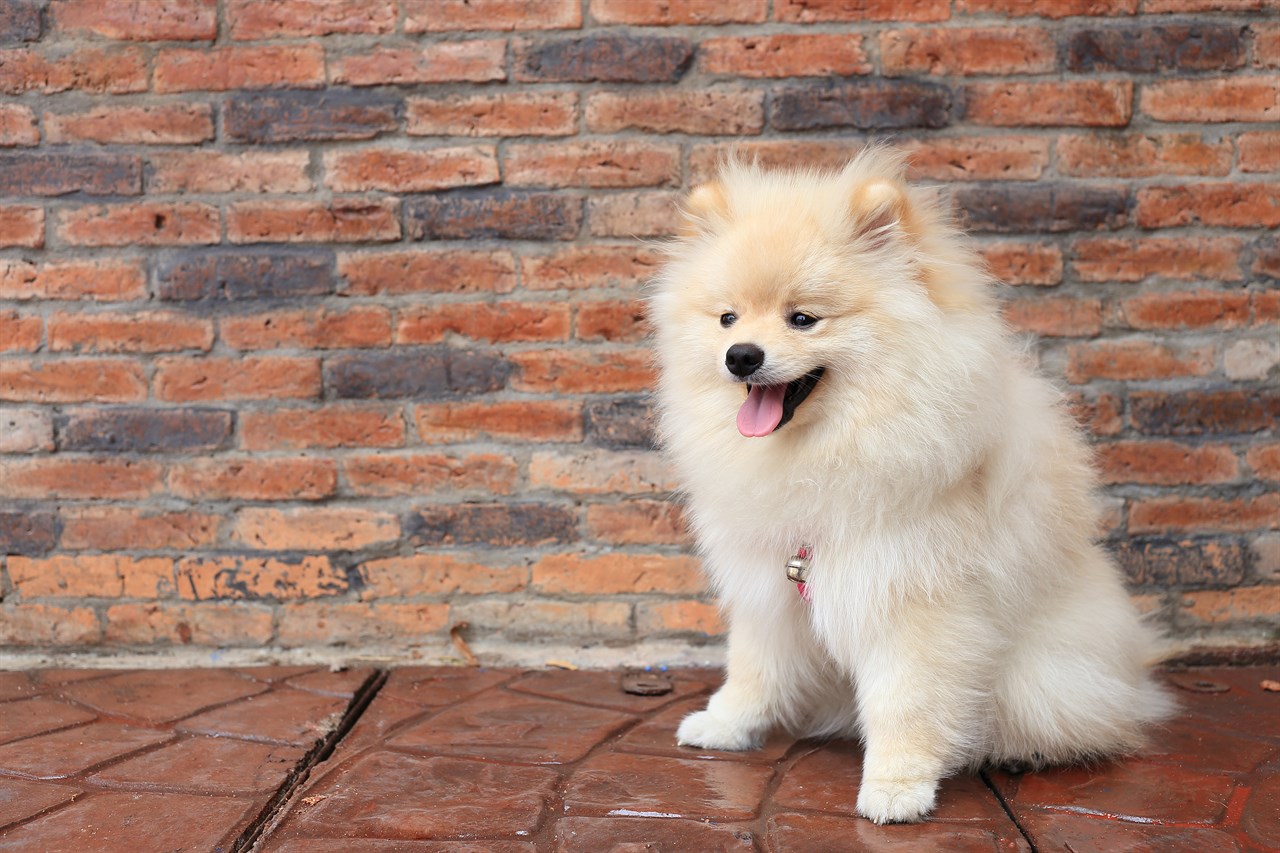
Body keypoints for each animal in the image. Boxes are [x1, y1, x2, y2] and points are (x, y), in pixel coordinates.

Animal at [650, 149, 1172, 819]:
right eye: (726, 318)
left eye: (803, 319)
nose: (740, 354)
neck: (825, 450)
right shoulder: (770, 583)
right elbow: (753, 667)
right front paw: (726, 725)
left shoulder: (912, 599)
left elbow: (906, 702)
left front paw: (896, 787)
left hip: (1043, 675)